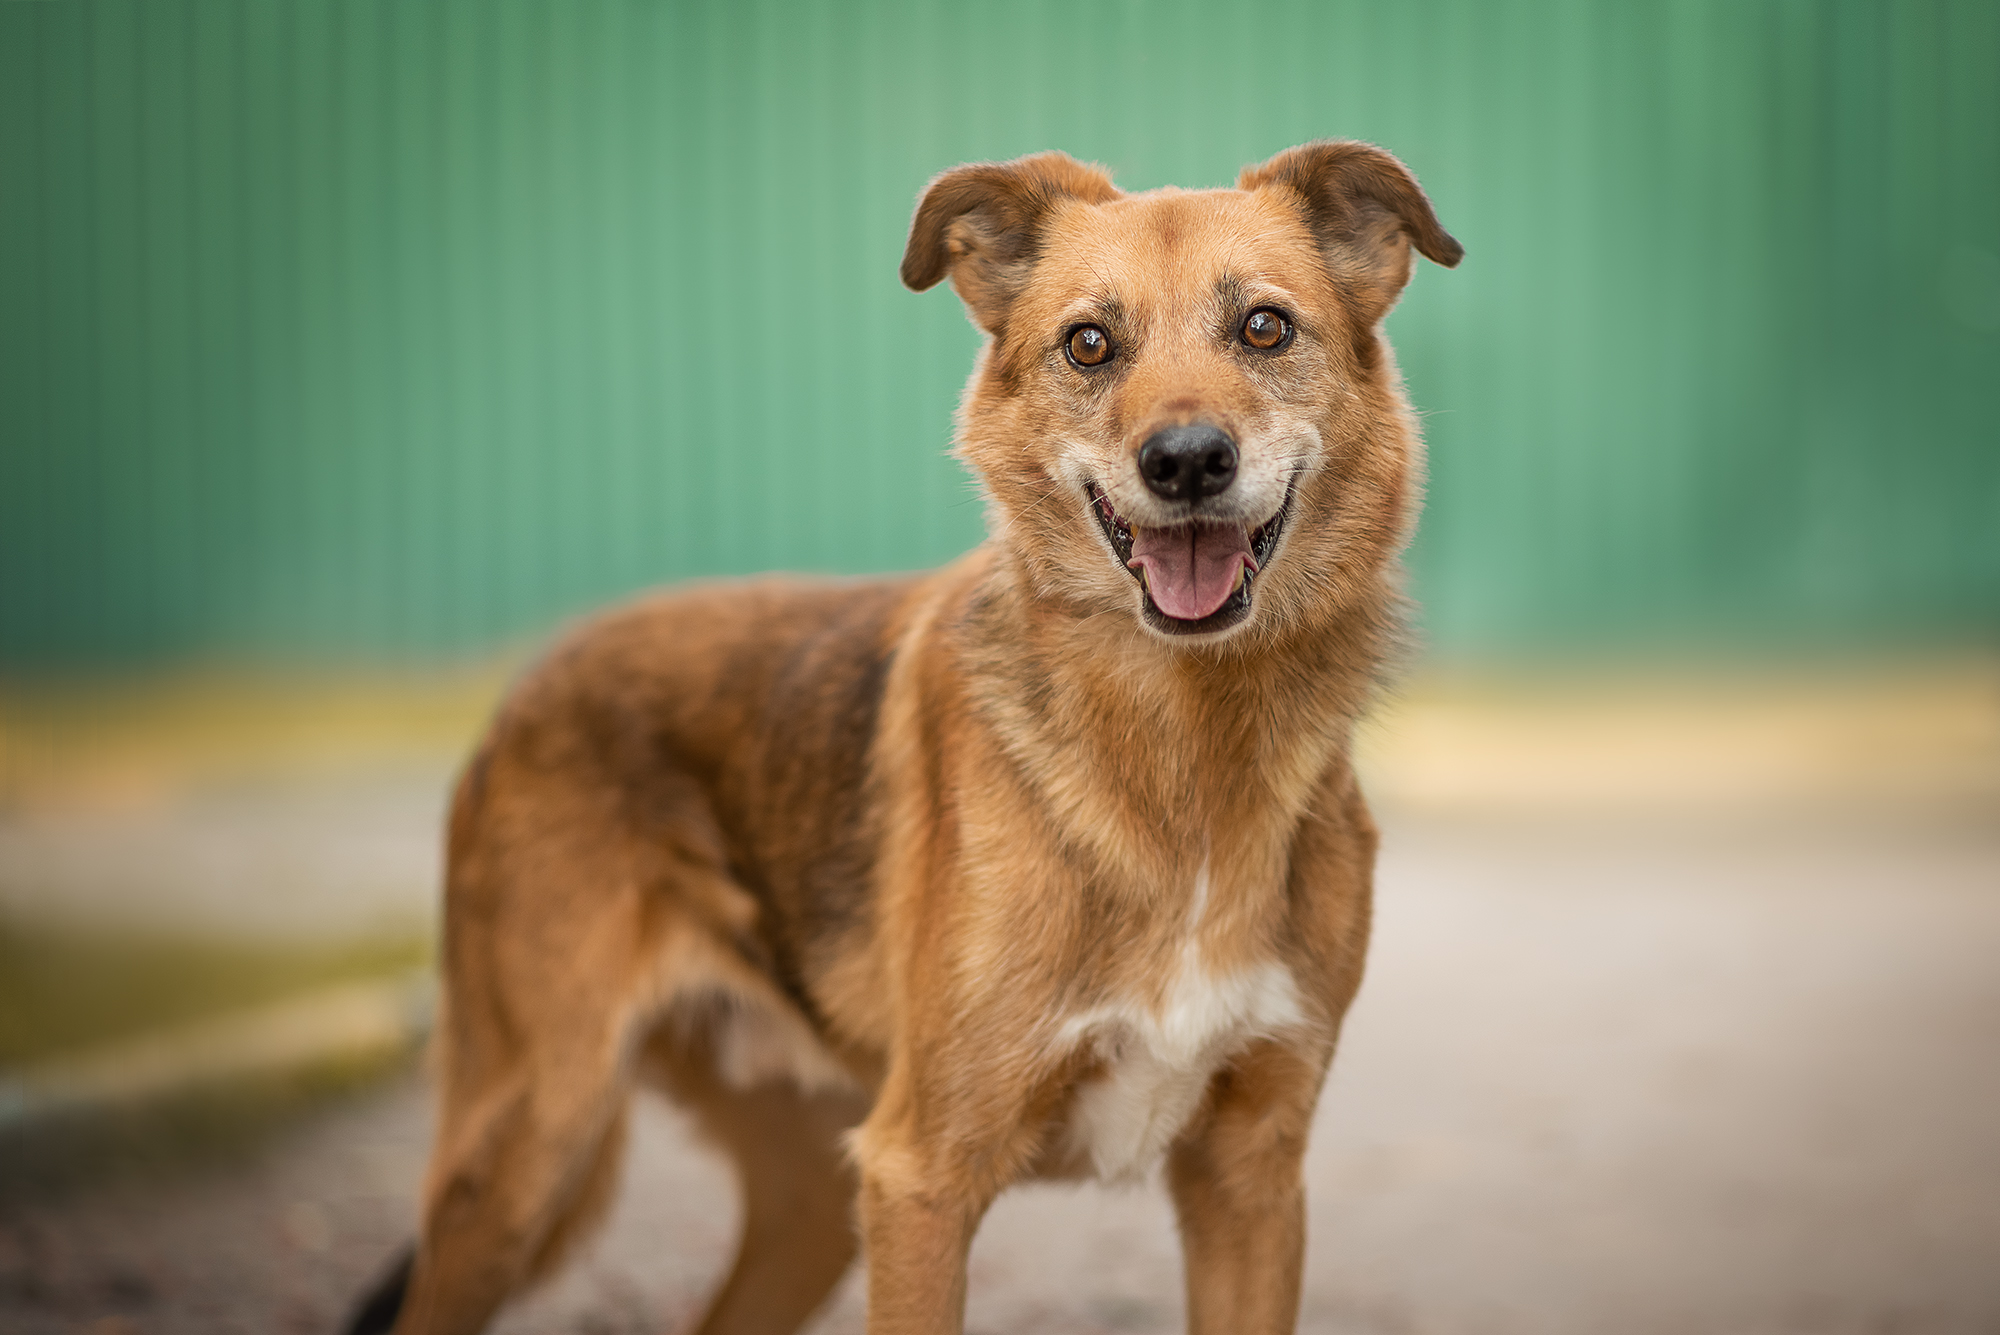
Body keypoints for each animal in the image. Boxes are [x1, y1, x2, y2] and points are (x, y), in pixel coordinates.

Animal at [348, 137, 1456, 1335]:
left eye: (1264, 327)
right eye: (1088, 343)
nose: (1186, 462)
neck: (1183, 757)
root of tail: (535, 675)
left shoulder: (1250, 1182)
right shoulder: (921, 1176)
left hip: (805, 1205)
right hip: (530, 1147)